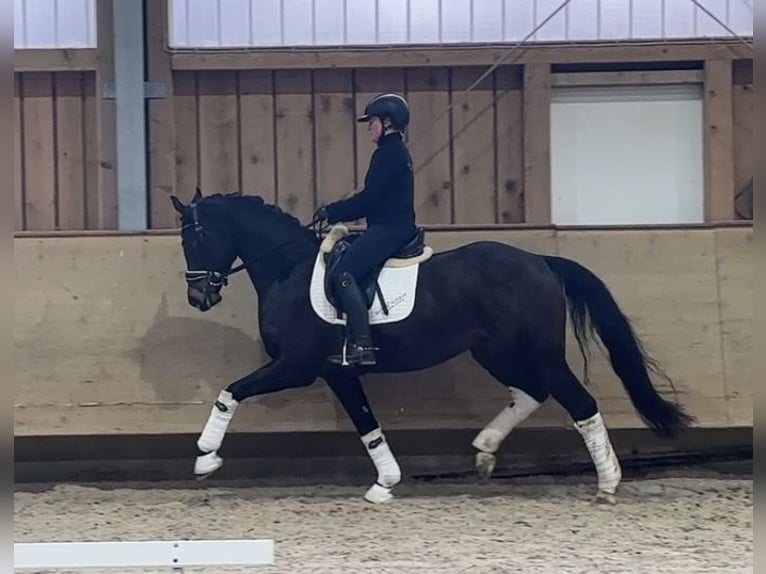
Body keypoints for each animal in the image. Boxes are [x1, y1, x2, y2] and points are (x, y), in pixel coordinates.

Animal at [169, 189, 694, 504]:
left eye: (196, 236)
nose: (199, 296)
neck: (291, 270)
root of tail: (540, 260)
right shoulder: (337, 372)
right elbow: (367, 425)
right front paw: (386, 484)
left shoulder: (297, 365)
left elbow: (231, 391)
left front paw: (205, 457)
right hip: (496, 352)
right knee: (532, 393)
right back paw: (485, 450)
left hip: (537, 353)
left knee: (578, 402)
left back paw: (607, 483)